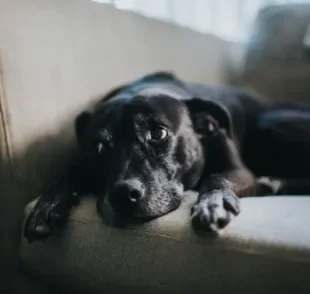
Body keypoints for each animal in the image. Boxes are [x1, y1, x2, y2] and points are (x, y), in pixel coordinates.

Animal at [24, 72, 310, 242]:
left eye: (158, 133)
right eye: (99, 146)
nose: (123, 195)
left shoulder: (239, 171)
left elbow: (217, 178)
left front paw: (213, 203)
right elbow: (68, 173)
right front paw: (46, 206)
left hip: (271, 125)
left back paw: (274, 182)